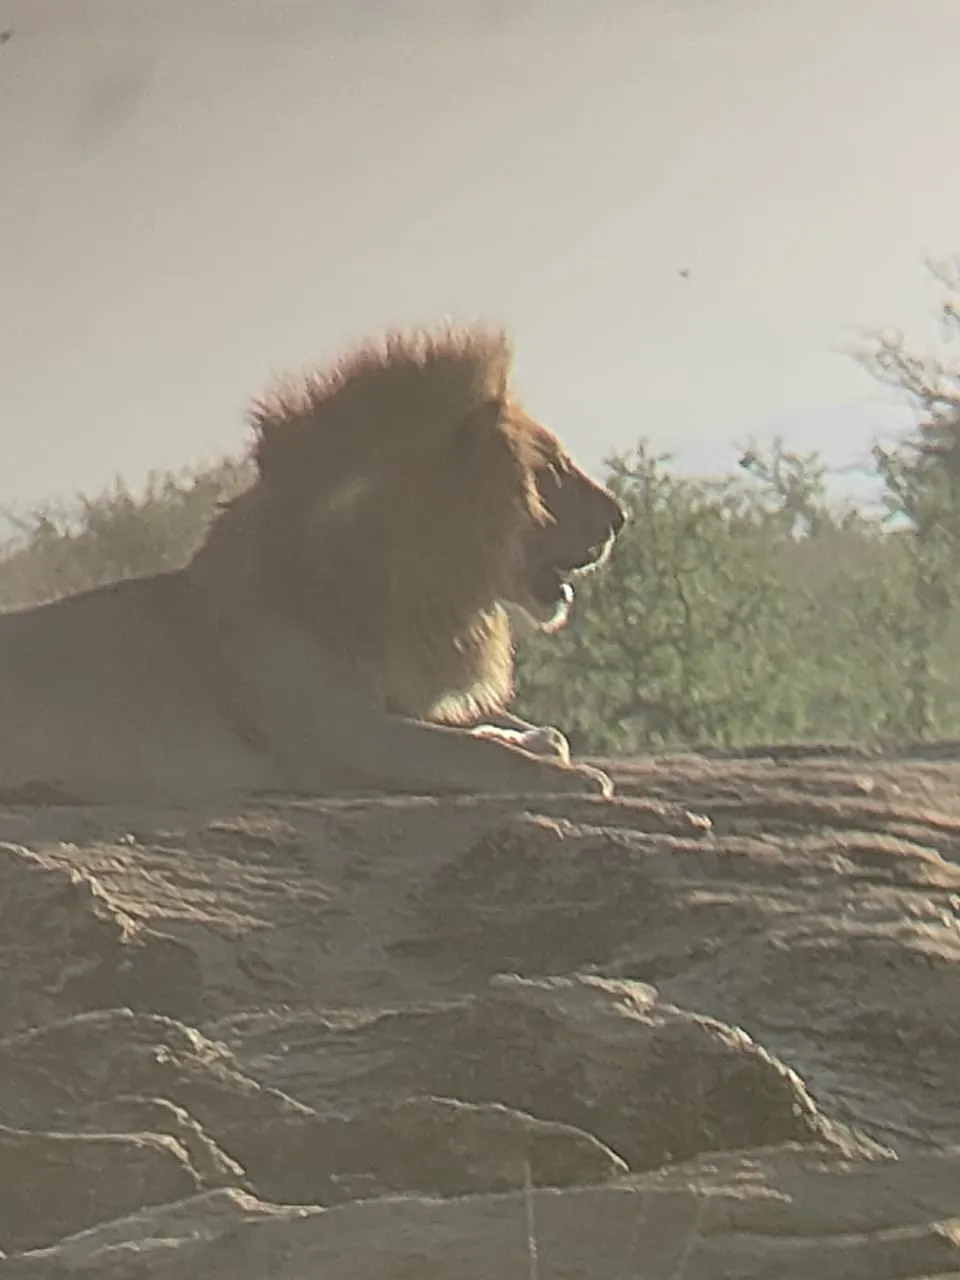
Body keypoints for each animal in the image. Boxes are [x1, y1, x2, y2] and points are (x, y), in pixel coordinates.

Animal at [0, 326, 625, 802]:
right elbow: (471, 750)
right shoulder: (339, 736)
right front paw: (576, 776)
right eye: (551, 470)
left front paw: (542, 741)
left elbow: (502, 732)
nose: (621, 517)